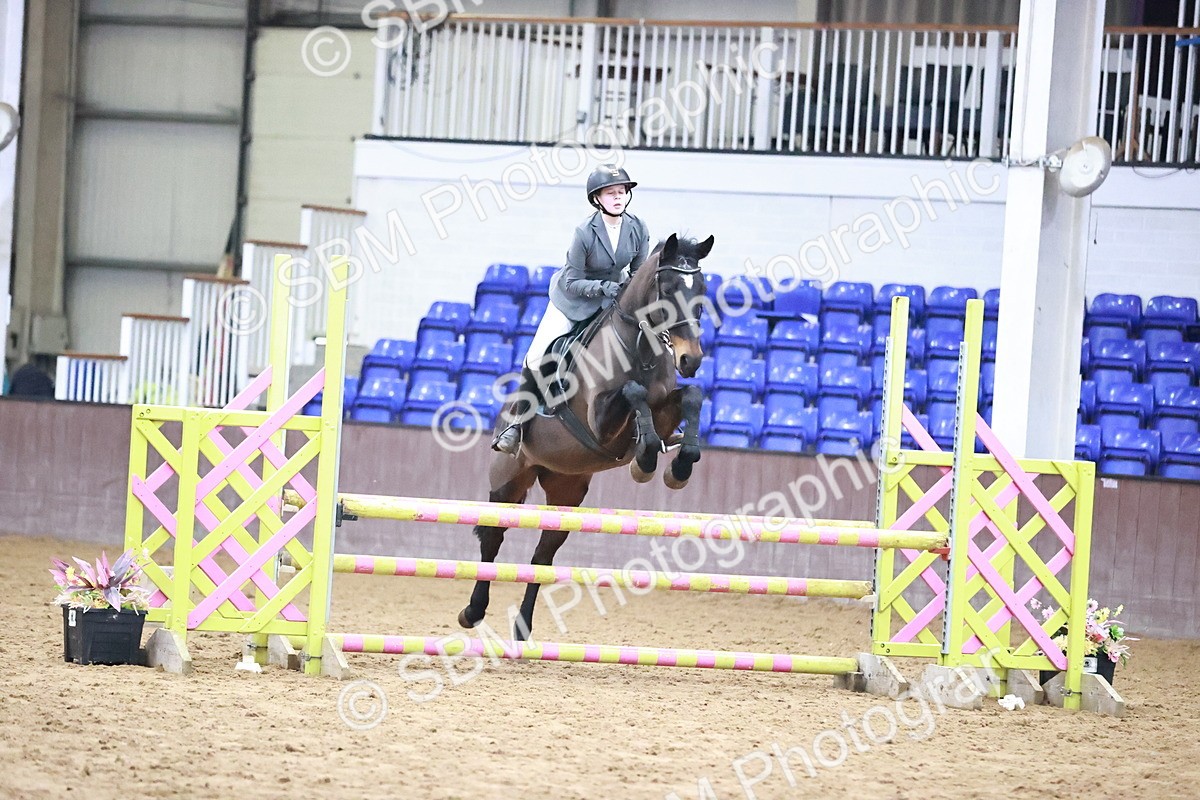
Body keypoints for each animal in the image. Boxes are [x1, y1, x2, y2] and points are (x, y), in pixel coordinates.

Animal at [458, 233, 715, 640]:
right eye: (670, 288)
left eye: (702, 289)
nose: (691, 360)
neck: (639, 347)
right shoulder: (600, 422)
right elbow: (632, 392)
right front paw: (645, 461)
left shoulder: (663, 410)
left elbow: (691, 396)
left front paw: (679, 465)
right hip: (507, 482)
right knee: (492, 540)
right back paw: (473, 611)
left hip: (567, 493)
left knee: (542, 557)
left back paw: (523, 627)